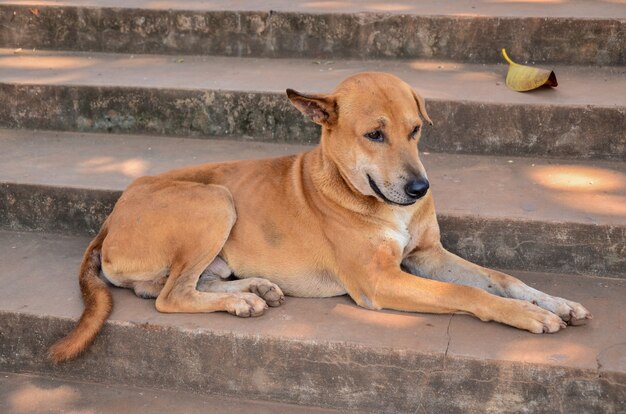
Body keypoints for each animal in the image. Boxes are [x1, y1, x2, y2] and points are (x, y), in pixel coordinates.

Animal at [50, 72, 588, 362]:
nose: (420, 189)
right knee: (168, 297)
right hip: (215, 200)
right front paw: (529, 316)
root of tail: (112, 215)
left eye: (416, 129)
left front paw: (553, 301)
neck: (363, 194)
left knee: (170, 286)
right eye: (374, 134)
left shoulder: (428, 255)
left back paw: (253, 288)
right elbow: (468, 293)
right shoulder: (379, 282)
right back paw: (239, 301)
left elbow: (500, 277)